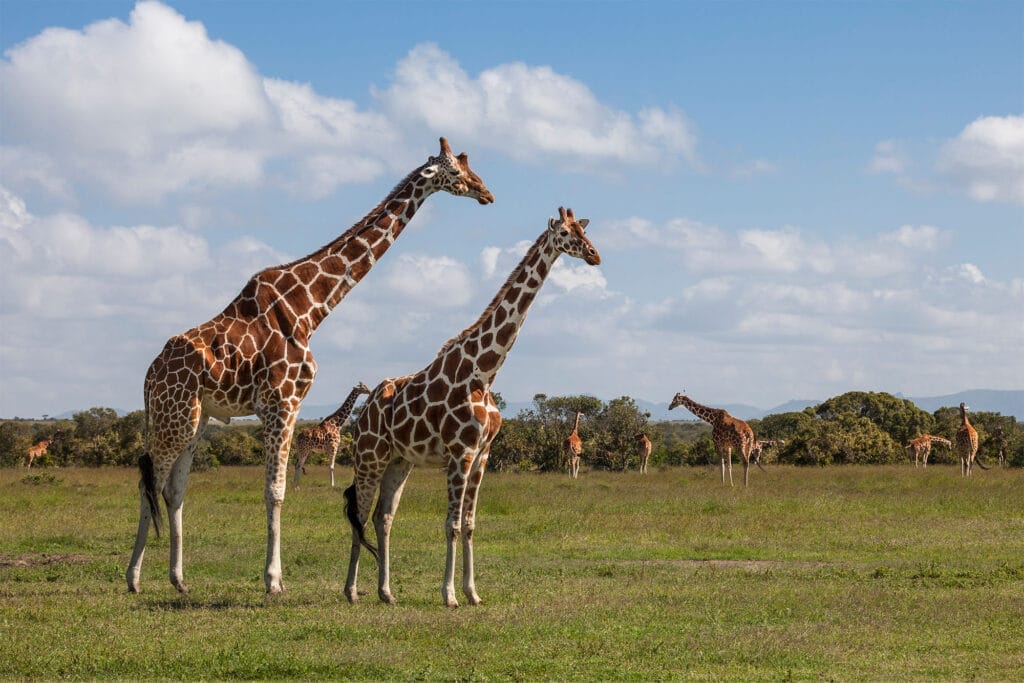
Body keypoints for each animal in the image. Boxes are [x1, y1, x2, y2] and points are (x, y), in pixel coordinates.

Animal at [127, 138, 494, 595]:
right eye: (456, 173)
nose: (486, 193)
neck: (311, 308)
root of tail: (149, 375)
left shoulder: (290, 404)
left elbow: (275, 488)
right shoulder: (281, 402)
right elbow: (275, 490)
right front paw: (273, 580)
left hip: (196, 418)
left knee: (174, 489)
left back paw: (178, 580)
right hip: (173, 416)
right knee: (151, 481)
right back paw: (133, 578)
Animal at [343, 207, 601, 607]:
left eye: (583, 231)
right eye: (565, 234)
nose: (594, 255)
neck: (485, 372)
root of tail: (366, 407)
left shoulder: (482, 455)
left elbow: (468, 524)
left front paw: (472, 593)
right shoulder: (460, 453)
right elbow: (450, 524)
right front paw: (449, 594)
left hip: (399, 461)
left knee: (382, 517)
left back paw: (386, 592)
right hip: (369, 456)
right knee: (360, 512)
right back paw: (352, 592)